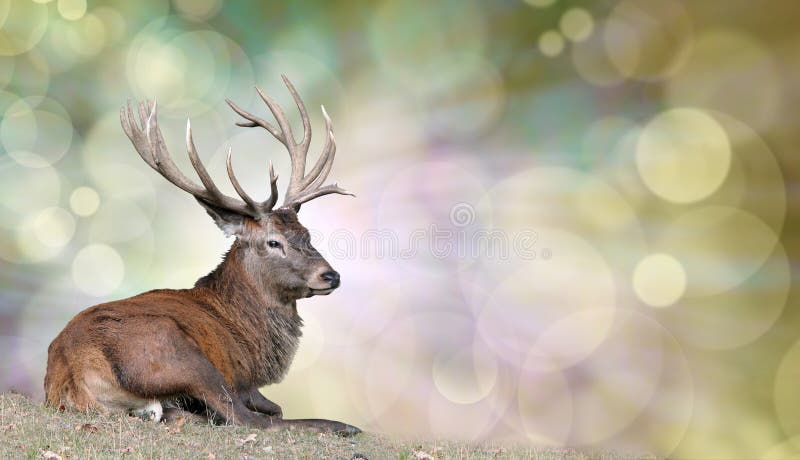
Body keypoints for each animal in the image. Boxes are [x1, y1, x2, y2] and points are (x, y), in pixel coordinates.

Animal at [40, 75, 360, 434]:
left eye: (307, 234)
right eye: (273, 242)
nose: (330, 275)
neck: (252, 339)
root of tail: (73, 375)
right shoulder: (242, 379)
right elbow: (271, 409)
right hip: (179, 354)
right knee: (248, 420)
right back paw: (341, 425)